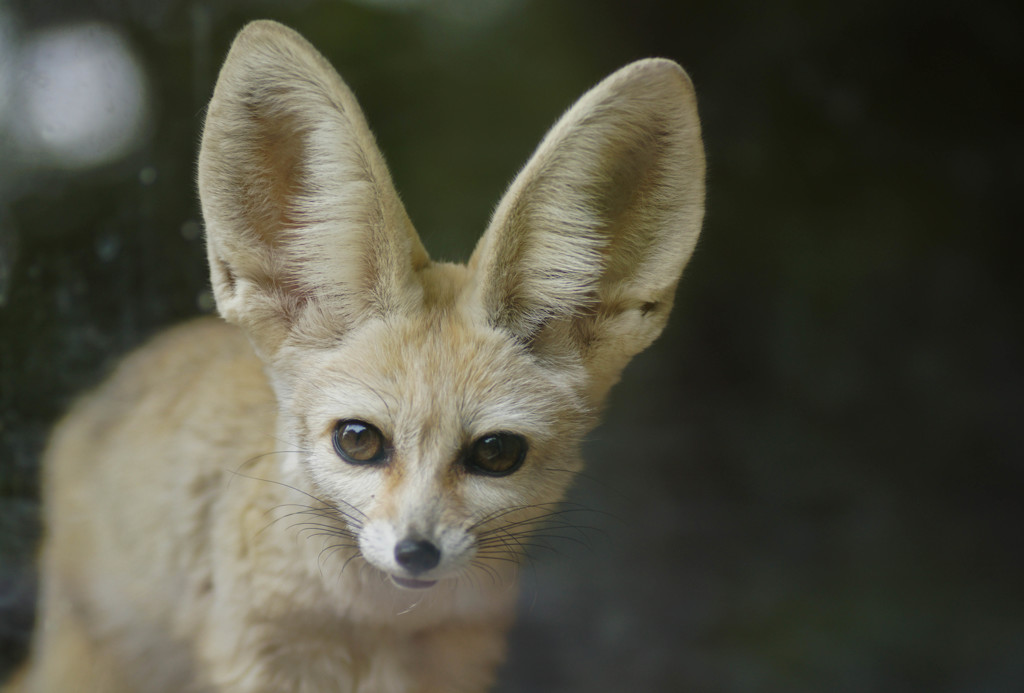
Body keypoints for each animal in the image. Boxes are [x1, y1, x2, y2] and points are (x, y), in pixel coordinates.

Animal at [9, 20, 704, 691]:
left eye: (496, 453)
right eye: (358, 440)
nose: (416, 553)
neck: (379, 626)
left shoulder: (455, 662)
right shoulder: (265, 659)